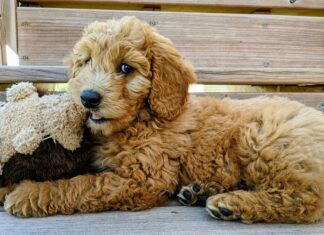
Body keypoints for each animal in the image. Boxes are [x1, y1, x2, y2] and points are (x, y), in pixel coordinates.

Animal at [3, 17, 324, 224]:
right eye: (87, 61)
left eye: (126, 68)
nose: (89, 98)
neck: (140, 120)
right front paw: (8, 187)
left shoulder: (145, 178)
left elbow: (83, 185)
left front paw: (28, 193)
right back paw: (198, 192)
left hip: (261, 140)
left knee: (306, 200)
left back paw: (230, 204)